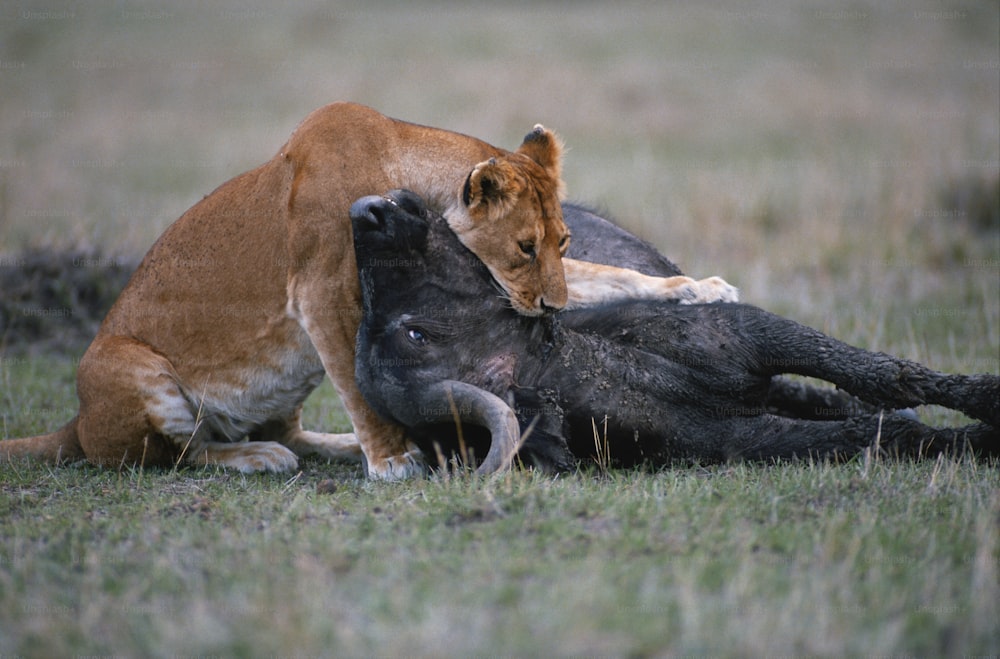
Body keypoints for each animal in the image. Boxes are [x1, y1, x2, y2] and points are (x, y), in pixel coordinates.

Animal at [348, 188, 996, 472]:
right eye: (414, 335)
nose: (365, 211)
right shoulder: (747, 440)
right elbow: (888, 433)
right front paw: (979, 438)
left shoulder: (753, 333)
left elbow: (887, 373)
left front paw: (986, 396)